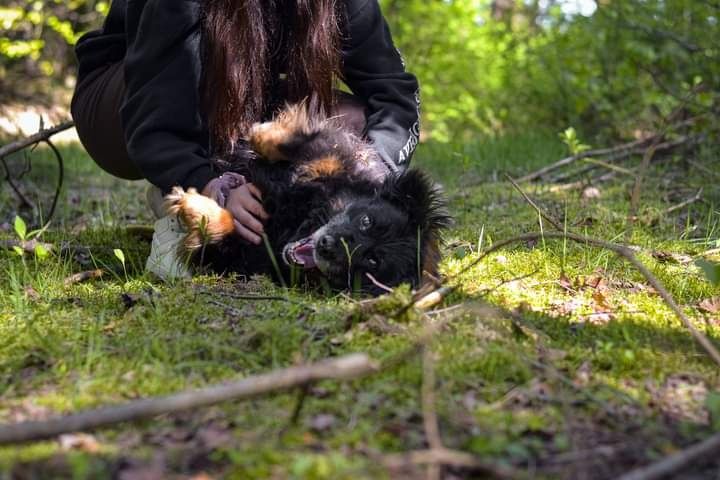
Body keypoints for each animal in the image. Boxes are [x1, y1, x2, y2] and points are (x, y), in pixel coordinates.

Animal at [167, 103, 452, 294]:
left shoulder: (242, 255)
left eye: (373, 261)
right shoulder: (337, 159)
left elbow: (224, 232)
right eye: (366, 221)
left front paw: (192, 207)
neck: (299, 220)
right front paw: (264, 130)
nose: (326, 245)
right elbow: (303, 144)